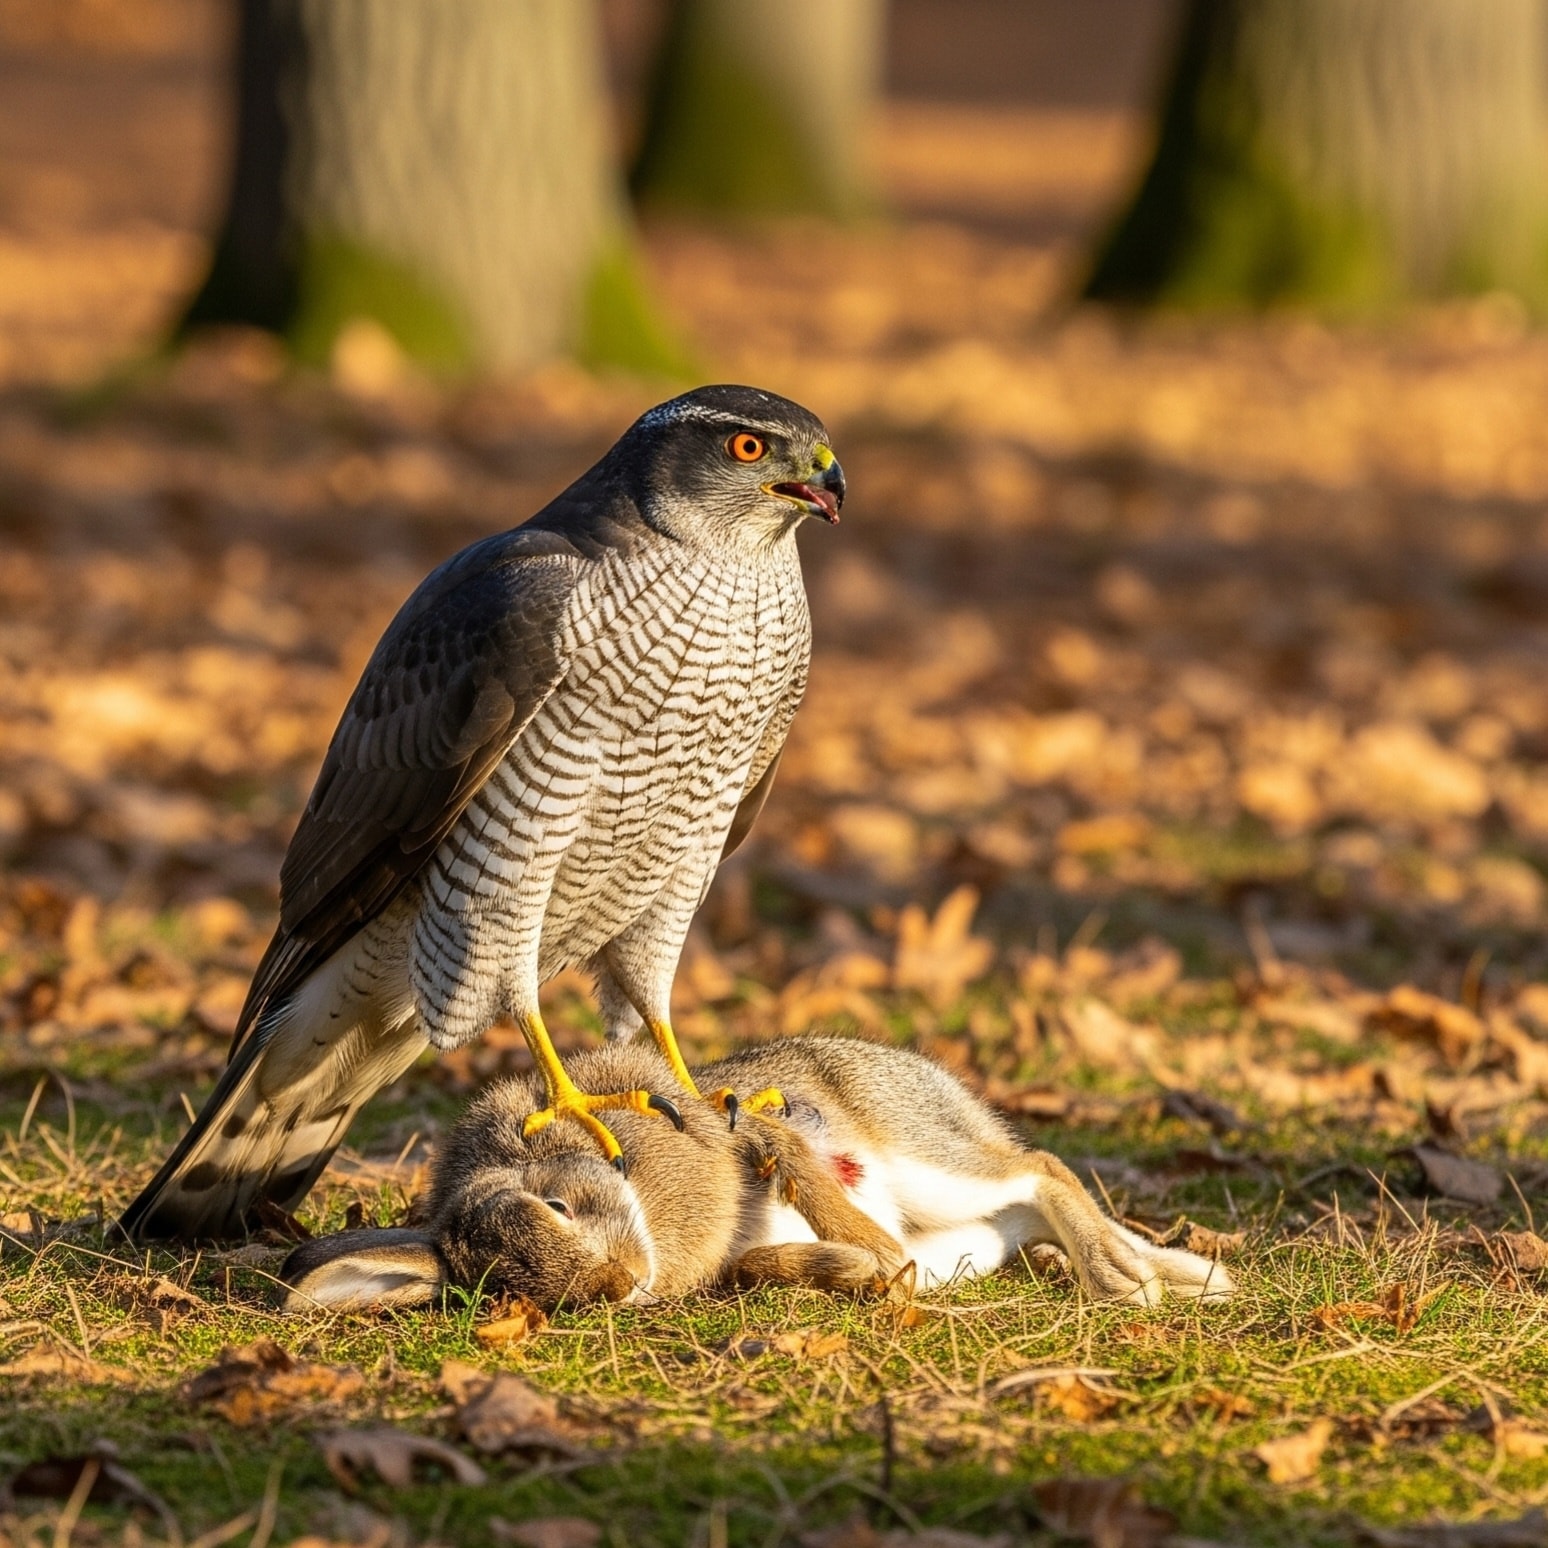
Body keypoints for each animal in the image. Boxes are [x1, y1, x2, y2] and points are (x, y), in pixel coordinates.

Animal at [281, 1036, 1234, 1313]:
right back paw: (1182, 1275)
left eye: (555, 1203)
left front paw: (874, 1260)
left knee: (1040, 1169)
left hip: (930, 1162)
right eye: (510, 1289)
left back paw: (1134, 1282)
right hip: (966, 1234)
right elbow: (767, 1265)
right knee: (1027, 1210)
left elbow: (792, 1165)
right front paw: (858, 1271)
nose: (618, 1284)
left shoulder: (758, 1138)